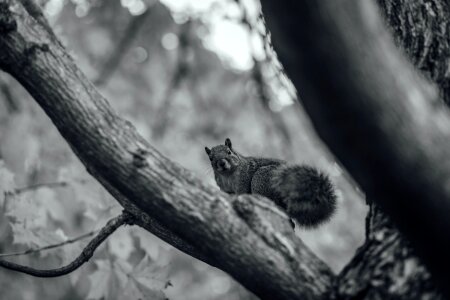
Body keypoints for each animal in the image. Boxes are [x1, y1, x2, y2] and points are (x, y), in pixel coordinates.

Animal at [206, 138, 336, 227]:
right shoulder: (224, 188)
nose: (221, 163)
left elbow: (242, 192)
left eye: (229, 152)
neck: (227, 175)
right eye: (211, 158)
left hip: (261, 179)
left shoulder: (244, 179)